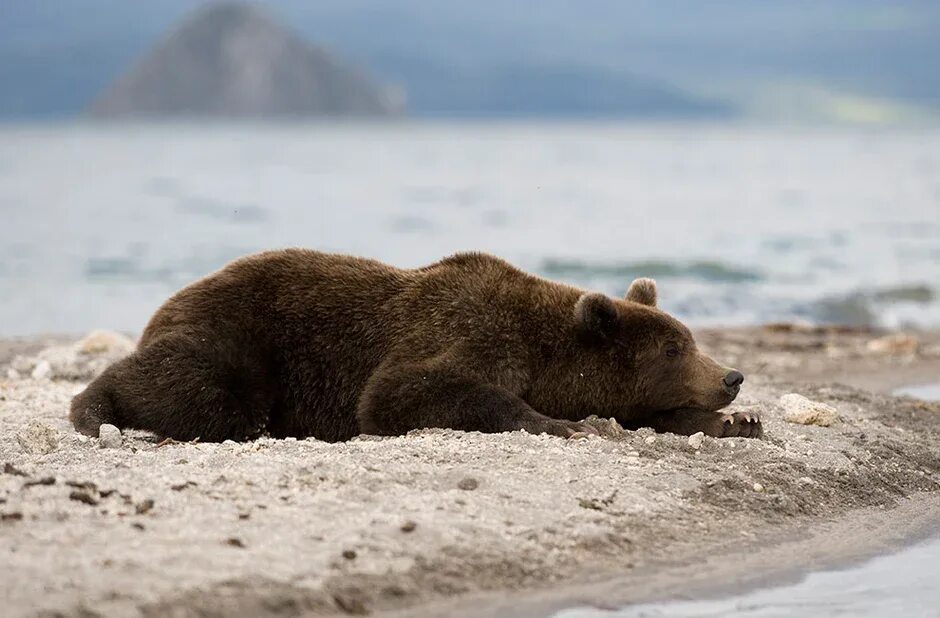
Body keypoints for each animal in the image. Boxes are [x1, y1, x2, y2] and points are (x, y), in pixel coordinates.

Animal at [71, 250, 764, 442]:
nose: (731, 376)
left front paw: (738, 423)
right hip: (236, 338)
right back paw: (95, 404)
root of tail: (161, 309)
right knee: (206, 391)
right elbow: (401, 393)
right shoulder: (467, 332)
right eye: (673, 350)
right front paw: (563, 423)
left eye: (690, 340)